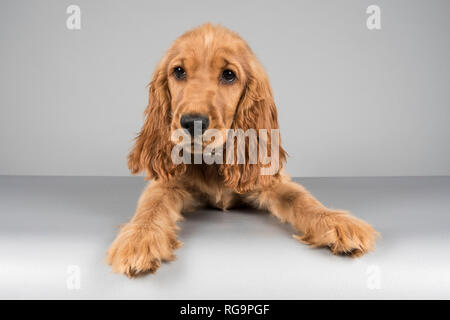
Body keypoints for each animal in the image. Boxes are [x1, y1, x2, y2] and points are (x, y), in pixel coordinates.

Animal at [107, 23, 378, 278]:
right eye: (179, 71)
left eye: (229, 75)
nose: (192, 122)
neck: (212, 161)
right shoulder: (166, 184)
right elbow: (151, 208)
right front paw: (139, 240)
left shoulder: (269, 181)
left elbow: (302, 198)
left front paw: (337, 222)